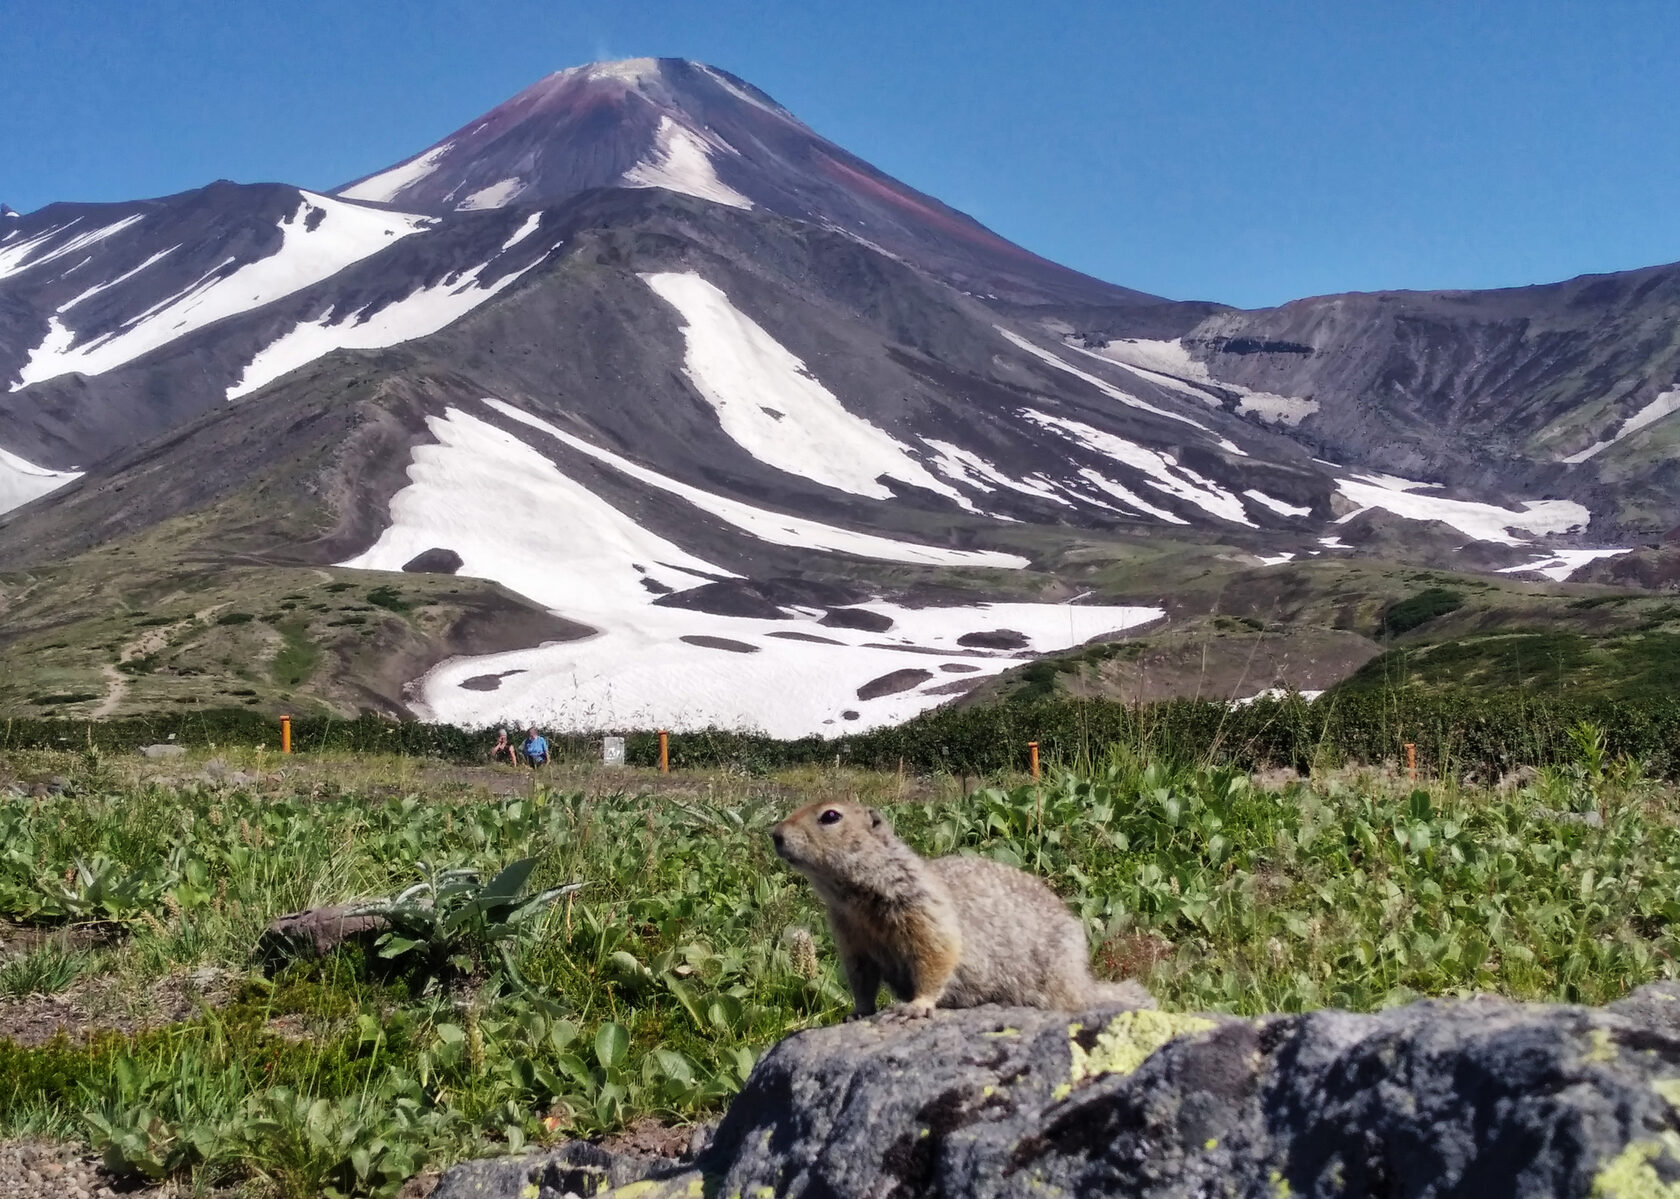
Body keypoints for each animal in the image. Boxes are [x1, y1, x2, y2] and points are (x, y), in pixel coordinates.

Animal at [772, 799, 1155, 1014]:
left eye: (830, 816)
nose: (774, 834)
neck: (852, 898)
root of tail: (1083, 979)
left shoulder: (921, 906)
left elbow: (937, 952)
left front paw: (916, 1007)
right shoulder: (849, 933)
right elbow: (860, 975)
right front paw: (858, 1011)